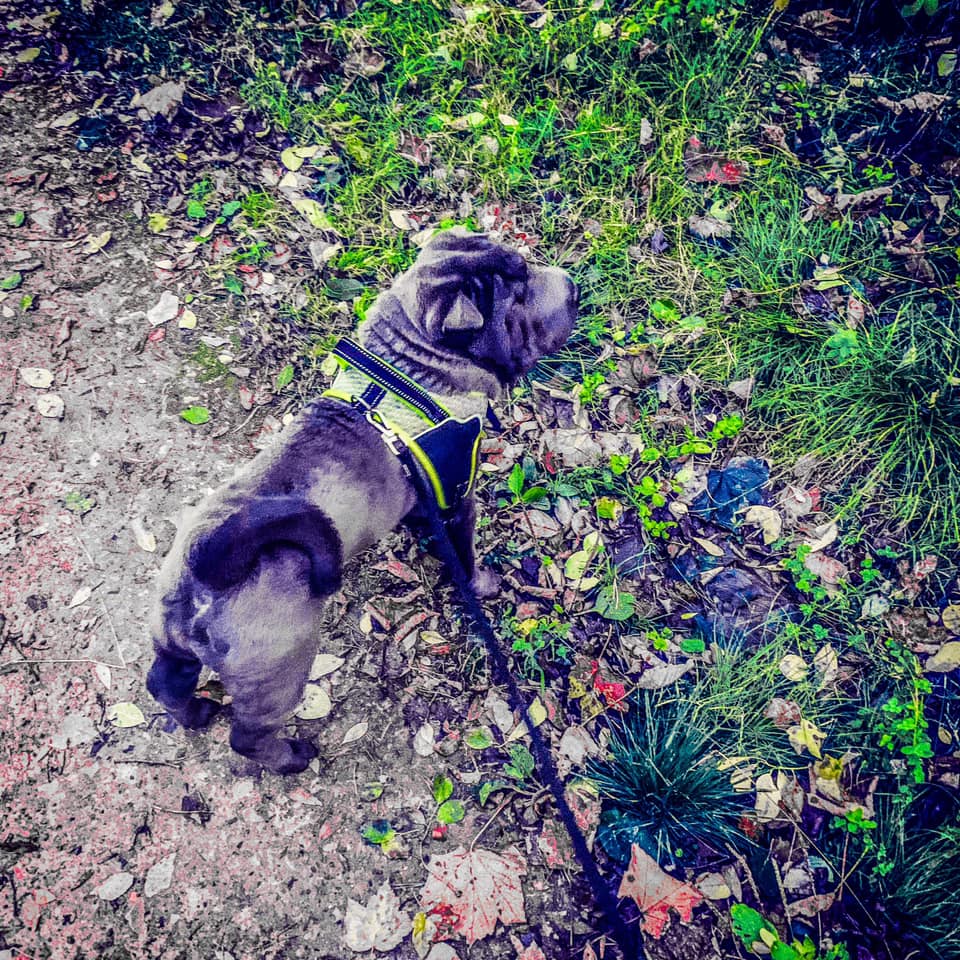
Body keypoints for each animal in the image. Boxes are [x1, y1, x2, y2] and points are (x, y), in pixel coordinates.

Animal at [146, 225, 572, 772]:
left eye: (526, 269)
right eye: (515, 302)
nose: (572, 288)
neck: (412, 371)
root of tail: (206, 569)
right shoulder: (457, 500)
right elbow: (464, 555)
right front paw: (482, 584)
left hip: (172, 644)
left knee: (166, 683)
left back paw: (195, 714)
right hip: (280, 670)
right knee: (249, 736)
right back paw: (291, 757)